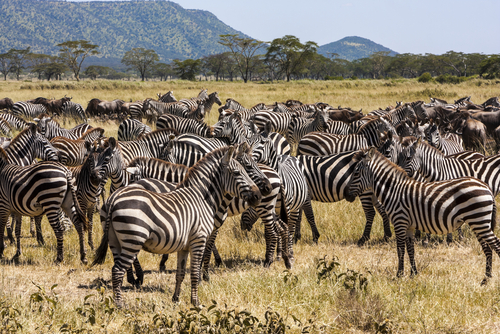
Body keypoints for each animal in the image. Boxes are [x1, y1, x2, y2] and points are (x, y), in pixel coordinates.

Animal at [94, 145, 264, 306]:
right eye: (237, 173)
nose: (258, 195)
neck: (202, 197)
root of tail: (114, 198)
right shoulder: (199, 239)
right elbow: (194, 272)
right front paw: (196, 302)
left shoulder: (184, 246)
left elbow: (180, 273)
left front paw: (176, 299)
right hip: (133, 239)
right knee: (118, 270)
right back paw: (120, 304)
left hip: (115, 240)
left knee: (116, 269)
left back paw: (120, 298)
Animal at [344, 147, 500, 282]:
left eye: (356, 172)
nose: (347, 196)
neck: (394, 190)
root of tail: (485, 186)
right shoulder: (409, 226)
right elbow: (410, 249)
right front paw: (413, 273)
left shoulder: (400, 221)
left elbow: (400, 249)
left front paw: (399, 274)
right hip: (478, 222)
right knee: (487, 248)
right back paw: (486, 279)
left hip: (479, 221)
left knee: (495, 245)